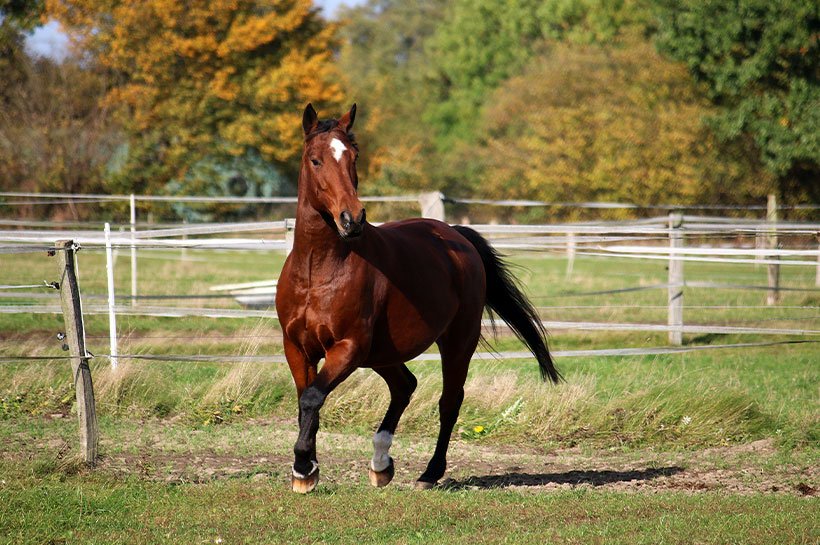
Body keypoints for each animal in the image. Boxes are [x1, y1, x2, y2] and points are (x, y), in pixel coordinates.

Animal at [274, 103, 556, 492]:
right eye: (315, 160)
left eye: (354, 157)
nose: (352, 218)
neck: (319, 272)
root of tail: (455, 236)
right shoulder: (297, 347)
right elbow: (306, 400)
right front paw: (306, 471)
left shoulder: (347, 347)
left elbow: (314, 397)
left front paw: (303, 467)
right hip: (382, 353)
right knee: (405, 385)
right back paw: (381, 464)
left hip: (456, 342)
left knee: (449, 401)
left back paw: (429, 473)